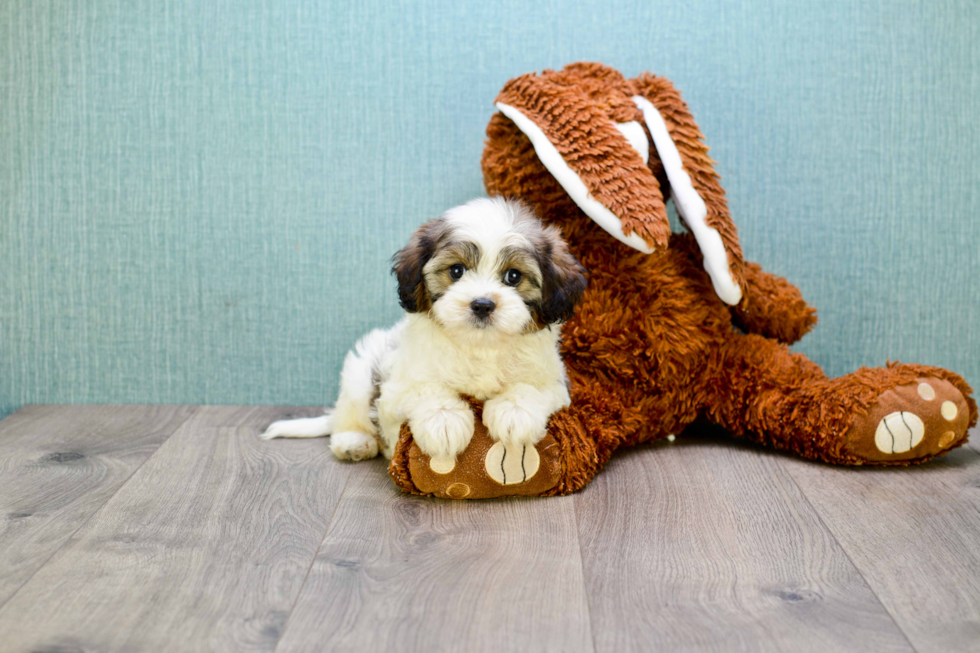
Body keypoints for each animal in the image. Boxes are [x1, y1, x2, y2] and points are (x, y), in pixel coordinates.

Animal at [258, 195, 588, 464]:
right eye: (456, 270)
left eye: (514, 276)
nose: (482, 304)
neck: (479, 346)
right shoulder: (399, 384)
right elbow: (425, 388)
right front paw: (444, 421)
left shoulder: (555, 382)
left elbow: (530, 387)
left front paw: (514, 413)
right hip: (360, 370)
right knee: (349, 413)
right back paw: (355, 441)